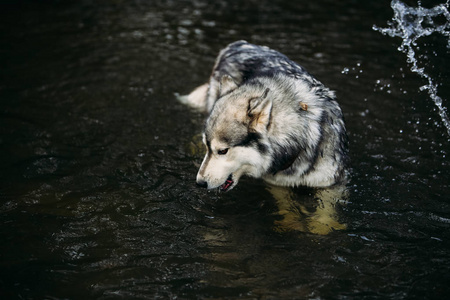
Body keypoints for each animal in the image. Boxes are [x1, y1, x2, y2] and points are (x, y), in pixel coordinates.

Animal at [178, 41, 348, 191]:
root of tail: (235, 45)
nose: (199, 183)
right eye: (209, 148)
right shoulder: (278, 185)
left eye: (222, 151)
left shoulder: (330, 186)